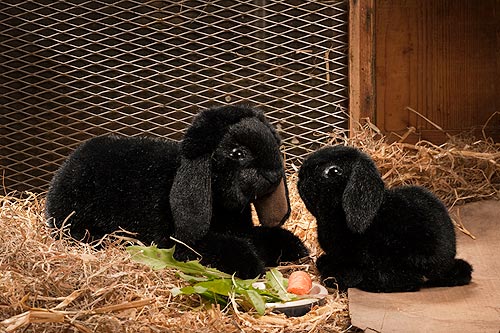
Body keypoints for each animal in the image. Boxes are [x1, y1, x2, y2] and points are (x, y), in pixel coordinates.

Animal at [46, 105, 308, 276]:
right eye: (238, 153)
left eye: (274, 143)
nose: (274, 173)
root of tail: (70, 162)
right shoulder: (180, 244)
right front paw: (254, 267)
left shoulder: (243, 230)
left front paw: (298, 251)